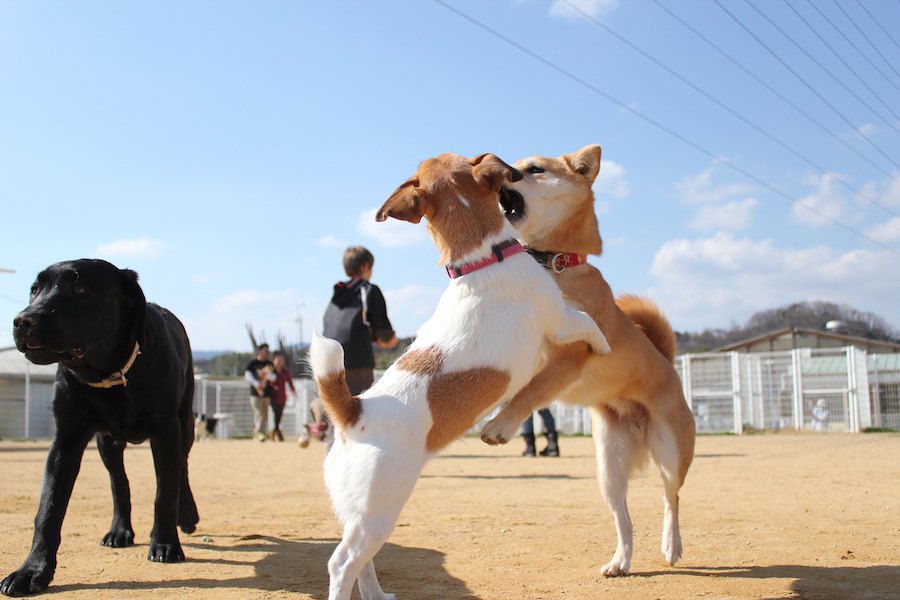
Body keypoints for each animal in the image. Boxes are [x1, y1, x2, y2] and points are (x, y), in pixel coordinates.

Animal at [1, 258, 199, 596]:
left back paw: (186, 515)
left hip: (184, 426)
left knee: (181, 470)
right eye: (34, 290)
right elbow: (48, 510)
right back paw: (119, 530)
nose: (23, 321)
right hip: (107, 443)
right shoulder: (65, 441)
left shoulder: (165, 431)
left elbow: (165, 492)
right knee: (119, 483)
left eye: (80, 288)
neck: (111, 373)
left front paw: (165, 544)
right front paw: (32, 571)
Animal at [310, 151, 612, 600]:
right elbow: (590, 323)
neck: (481, 259)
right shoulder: (560, 320)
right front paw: (605, 345)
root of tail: (353, 412)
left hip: (361, 514)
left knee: (363, 562)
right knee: (343, 563)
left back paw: (378, 595)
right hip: (378, 511)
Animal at [478, 144, 696, 576]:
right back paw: (621, 561)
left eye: (533, 169)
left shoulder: (569, 356)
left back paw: (671, 546)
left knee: (671, 499)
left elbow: (530, 393)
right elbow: (508, 387)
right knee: (624, 519)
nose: (497, 172)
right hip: (609, 467)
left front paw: (499, 425)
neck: (552, 266)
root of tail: (667, 363)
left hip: (670, 453)